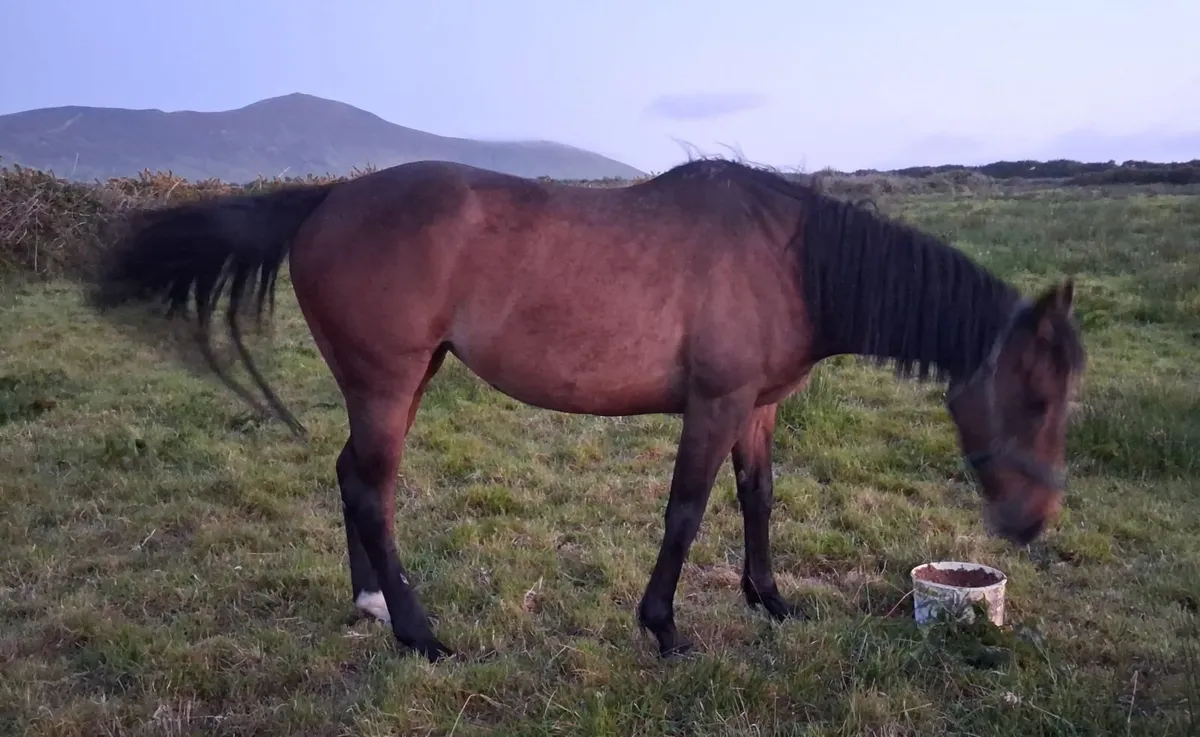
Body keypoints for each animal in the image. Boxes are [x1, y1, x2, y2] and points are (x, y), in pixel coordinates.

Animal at [89, 157, 1086, 662]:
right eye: (1037, 394)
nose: (1032, 522)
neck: (791, 257)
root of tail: (327, 200)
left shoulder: (756, 408)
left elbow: (758, 499)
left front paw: (770, 599)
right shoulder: (714, 404)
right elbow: (686, 511)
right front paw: (665, 626)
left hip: (402, 381)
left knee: (350, 480)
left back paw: (371, 602)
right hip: (385, 383)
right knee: (372, 491)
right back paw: (420, 632)